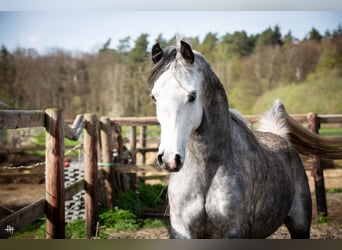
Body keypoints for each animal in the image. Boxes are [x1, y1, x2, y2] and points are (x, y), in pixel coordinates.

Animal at [147, 38, 312, 238]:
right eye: (154, 97)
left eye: (192, 96)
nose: (169, 159)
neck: (208, 171)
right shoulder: (182, 231)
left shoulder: (233, 231)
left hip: (300, 227)